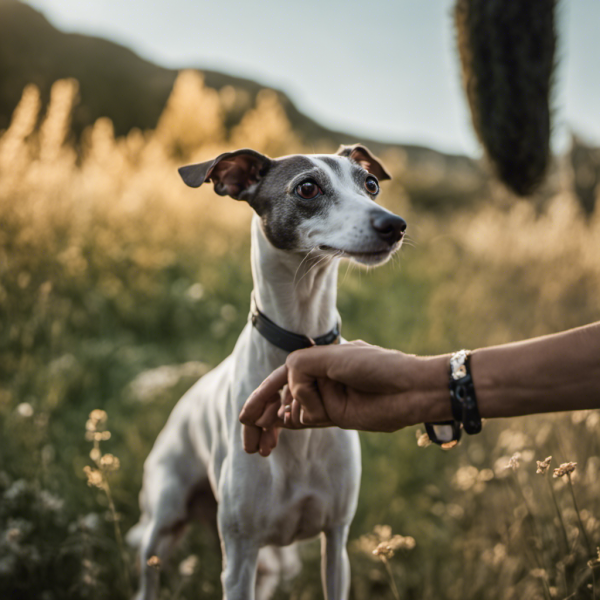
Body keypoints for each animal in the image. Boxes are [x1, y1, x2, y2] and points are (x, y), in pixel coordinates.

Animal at [126, 143, 408, 596]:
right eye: (307, 187)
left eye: (370, 184)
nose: (395, 225)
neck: (300, 334)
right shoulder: (239, 557)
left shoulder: (336, 542)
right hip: (164, 523)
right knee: (149, 574)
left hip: (265, 562)